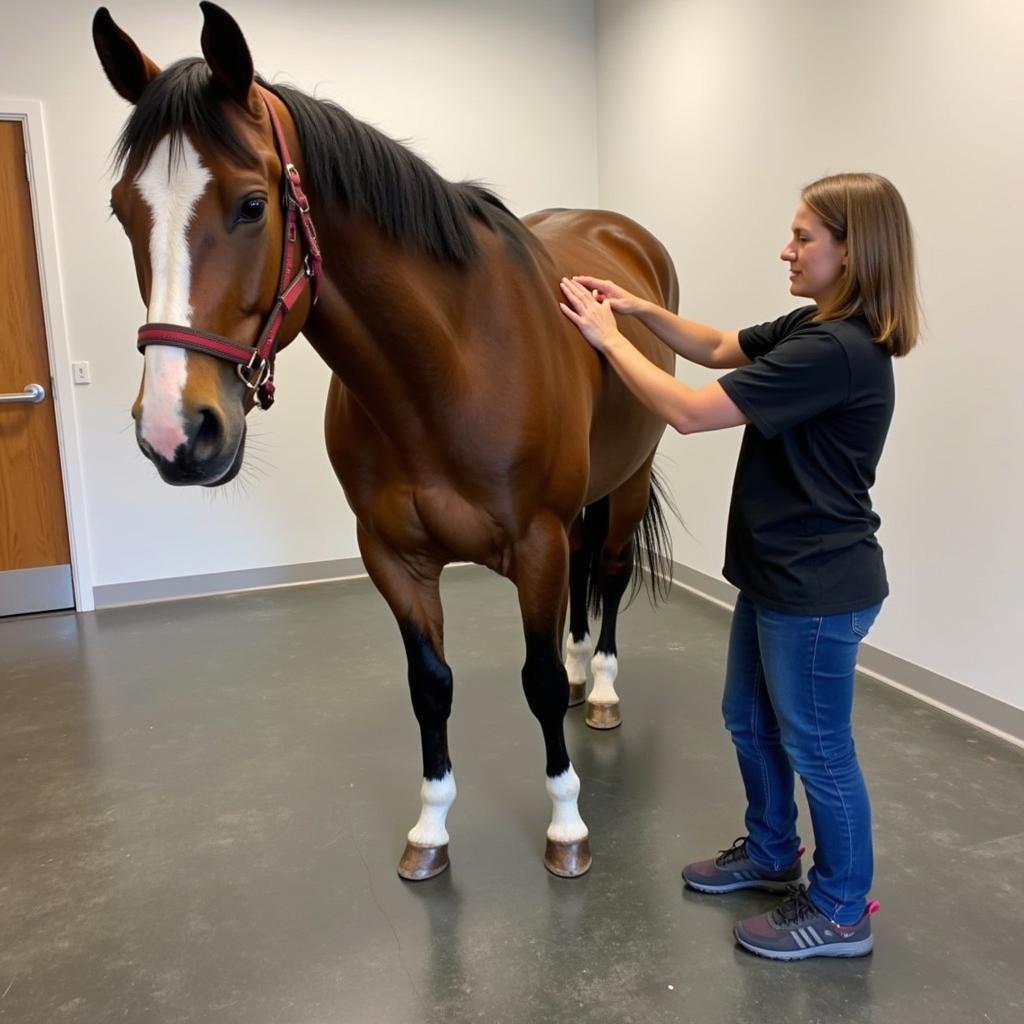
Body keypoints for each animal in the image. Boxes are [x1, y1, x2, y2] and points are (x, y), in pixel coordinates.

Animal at [92, 2, 675, 880]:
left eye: (252, 205)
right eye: (124, 211)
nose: (175, 430)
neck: (446, 370)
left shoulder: (536, 542)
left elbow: (535, 681)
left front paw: (567, 826)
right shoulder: (393, 555)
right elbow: (429, 684)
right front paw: (430, 829)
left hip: (627, 478)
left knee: (604, 573)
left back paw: (599, 688)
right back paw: (584, 676)